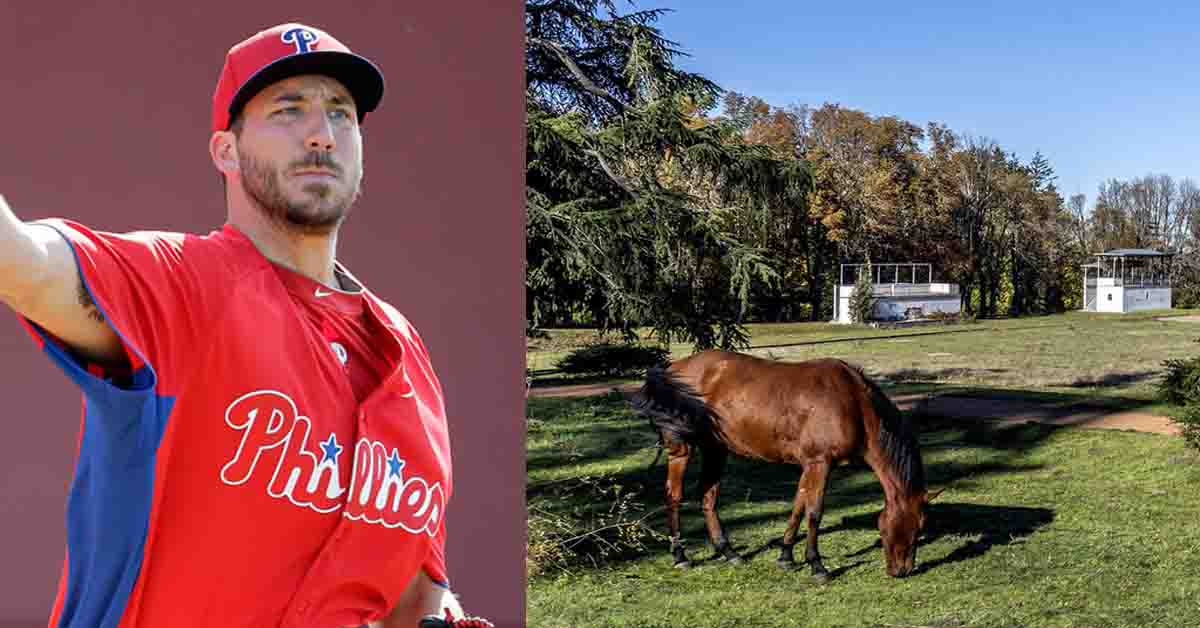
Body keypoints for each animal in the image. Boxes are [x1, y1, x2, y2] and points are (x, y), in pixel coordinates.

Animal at [628, 348, 936, 581]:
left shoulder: (810, 465)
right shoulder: (820, 463)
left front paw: (786, 555)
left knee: (707, 497)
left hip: (716, 449)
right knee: (673, 497)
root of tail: (670, 370)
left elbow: (798, 506)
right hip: (681, 451)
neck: (853, 402)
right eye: (916, 526)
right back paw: (680, 556)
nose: (903, 570)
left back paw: (729, 552)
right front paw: (816, 565)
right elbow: (814, 512)